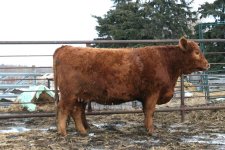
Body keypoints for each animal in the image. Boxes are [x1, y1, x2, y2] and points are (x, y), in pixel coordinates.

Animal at [53, 37, 209, 136]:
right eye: (196, 52)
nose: (208, 64)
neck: (166, 62)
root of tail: (65, 47)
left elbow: (146, 112)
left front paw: (147, 127)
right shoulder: (153, 92)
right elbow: (150, 111)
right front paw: (151, 131)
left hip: (81, 95)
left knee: (76, 111)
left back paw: (83, 131)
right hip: (69, 94)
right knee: (63, 109)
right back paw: (63, 132)